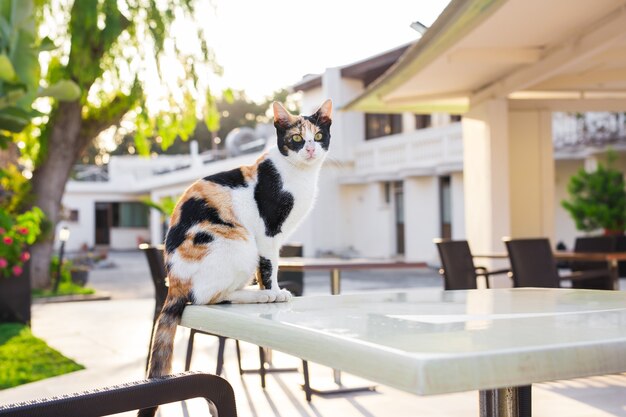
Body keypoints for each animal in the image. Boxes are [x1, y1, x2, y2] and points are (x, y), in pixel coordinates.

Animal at [138, 98, 332, 416]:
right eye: (295, 139)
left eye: (317, 136)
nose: (310, 150)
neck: (299, 174)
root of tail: (173, 282)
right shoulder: (268, 233)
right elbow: (270, 267)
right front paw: (275, 292)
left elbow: (269, 267)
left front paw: (273, 290)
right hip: (240, 243)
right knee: (207, 298)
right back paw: (259, 296)